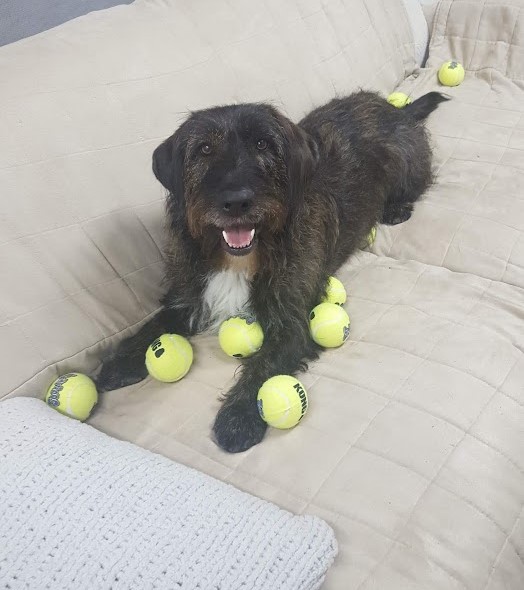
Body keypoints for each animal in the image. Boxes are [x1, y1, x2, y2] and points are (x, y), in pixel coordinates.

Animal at [95, 91, 446, 454]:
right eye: (204, 149)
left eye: (263, 143)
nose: (236, 202)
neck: (239, 259)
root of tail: (395, 110)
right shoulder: (188, 293)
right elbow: (156, 322)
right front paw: (120, 361)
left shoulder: (292, 319)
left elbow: (264, 365)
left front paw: (239, 417)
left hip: (407, 162)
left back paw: (396, 207)